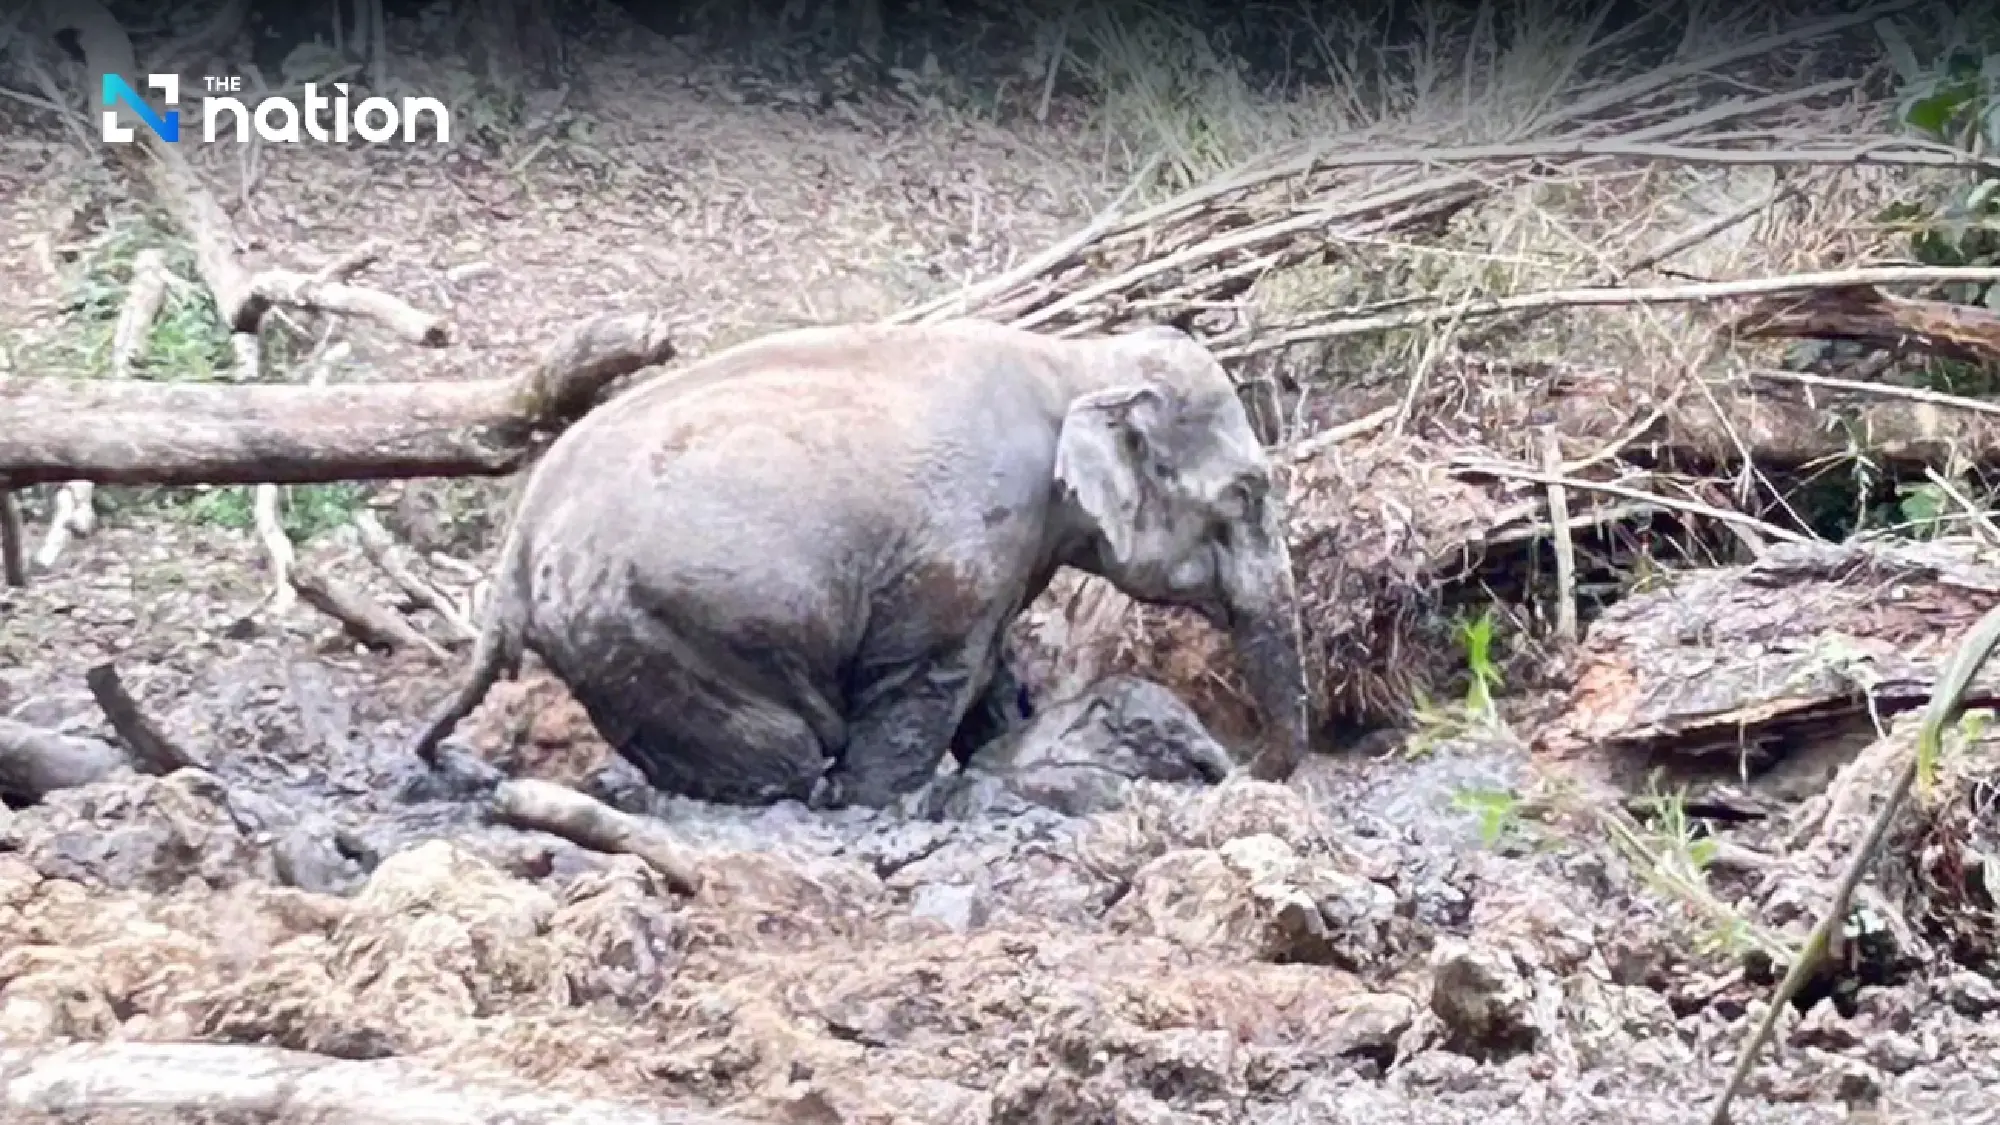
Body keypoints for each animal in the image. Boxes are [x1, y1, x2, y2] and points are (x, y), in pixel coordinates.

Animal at [406, 318, 1310, 809]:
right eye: (1246, 493)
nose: (1239, 768)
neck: (1072, 360)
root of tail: (515, 551)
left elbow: (991, 672)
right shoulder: (960, 552)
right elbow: (930, 678)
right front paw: (890, 798)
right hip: (651, 629)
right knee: (782, 756)